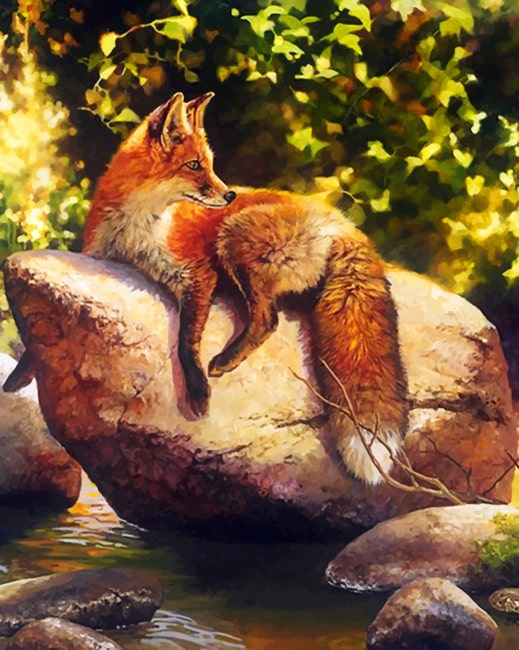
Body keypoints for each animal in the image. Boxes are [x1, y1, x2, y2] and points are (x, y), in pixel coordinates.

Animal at [4, 92, 408, 485]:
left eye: (209, 164)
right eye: (194, 165)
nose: (229, 195)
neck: (136, 233)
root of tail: (342, 224)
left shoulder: (197, 275)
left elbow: (186, 339)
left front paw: (197, 390)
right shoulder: (99, 257)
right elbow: (38, 339)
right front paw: (17, 378)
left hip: (234, 237)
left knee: (267, 320)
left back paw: (224, 360)